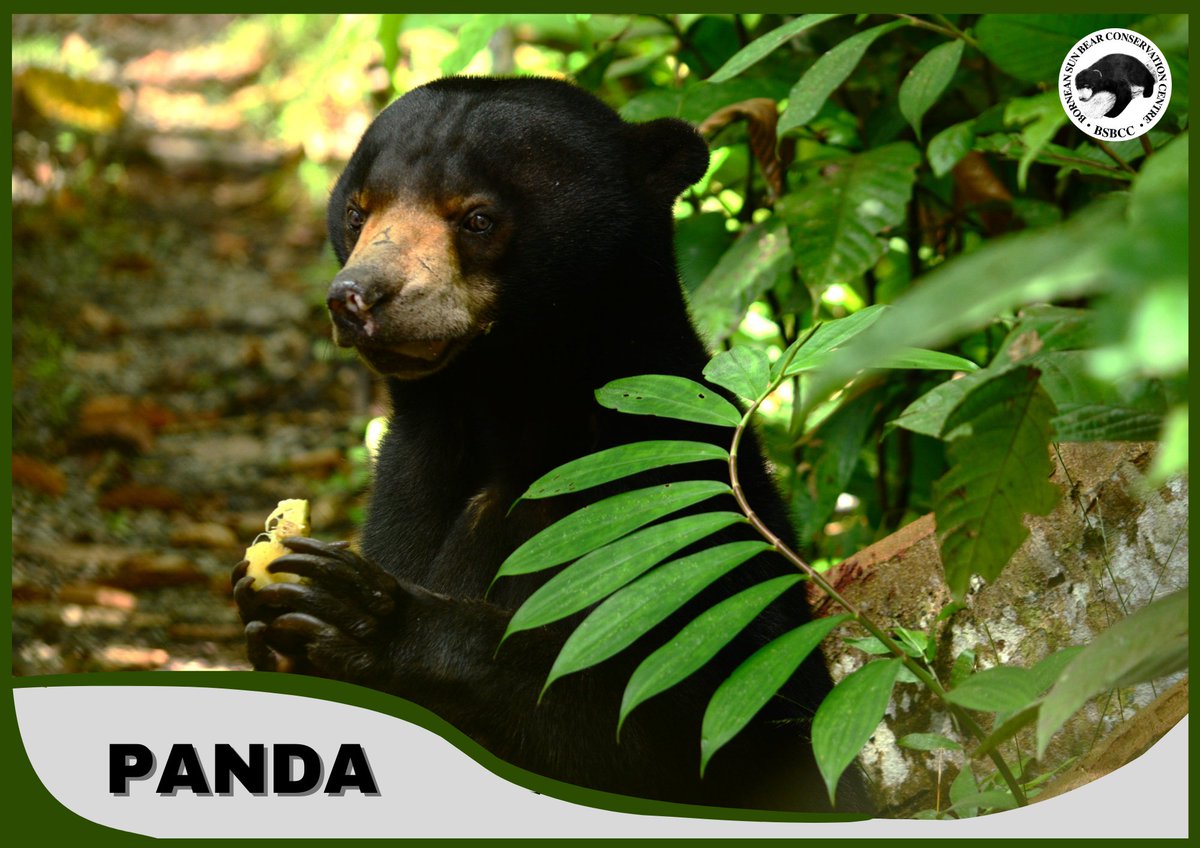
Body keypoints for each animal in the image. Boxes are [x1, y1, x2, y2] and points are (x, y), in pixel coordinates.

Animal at [233, 76, 869, 814]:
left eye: (477, 218)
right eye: (359, 211)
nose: (358, 298)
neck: (504, 409)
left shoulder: (659, 502)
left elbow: (657, 720)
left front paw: (362, 612)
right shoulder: (410, 479)